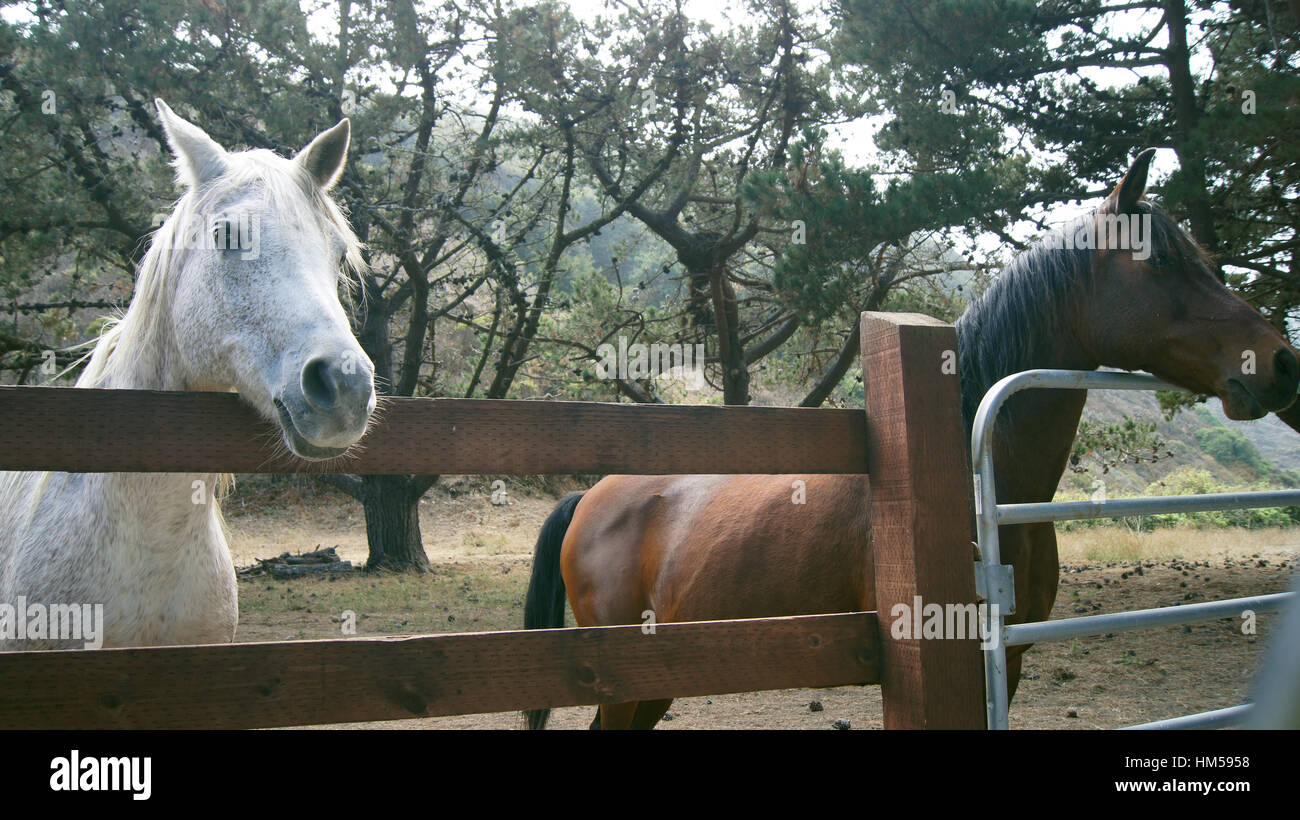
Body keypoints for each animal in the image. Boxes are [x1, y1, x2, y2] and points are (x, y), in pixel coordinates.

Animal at [520, 149, 1300, 732]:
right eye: (1161, 261)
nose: (1281, 361)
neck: (977, 478)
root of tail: (592, 497)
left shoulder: (1009, 659)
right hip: (623, 682)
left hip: (655, 681)